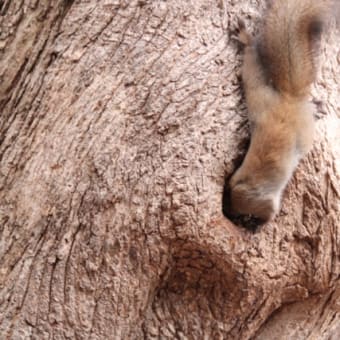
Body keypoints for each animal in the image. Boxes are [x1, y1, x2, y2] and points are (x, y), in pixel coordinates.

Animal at [227, 0, 330, 222]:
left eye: (244, 215)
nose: (236, 219)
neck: (242, 186)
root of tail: (288, 100)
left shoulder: (263, 203)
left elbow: (269, 213)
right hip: (258, 93)